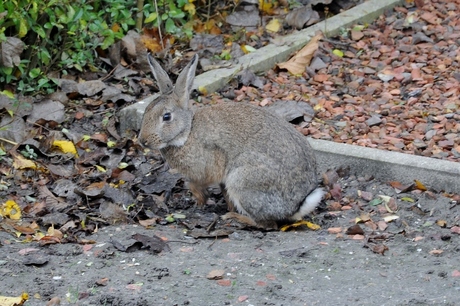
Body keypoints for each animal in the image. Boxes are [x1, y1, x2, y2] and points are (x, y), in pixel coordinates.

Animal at [137, 53, 324, 228]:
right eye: (146, 111)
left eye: (166, 117)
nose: (142, 141)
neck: (187, 131)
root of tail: (297, 205)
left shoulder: (209, 167)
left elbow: (195, 184)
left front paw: (201, 200)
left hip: (242, 181)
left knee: (267, 224)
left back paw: (235, 218)